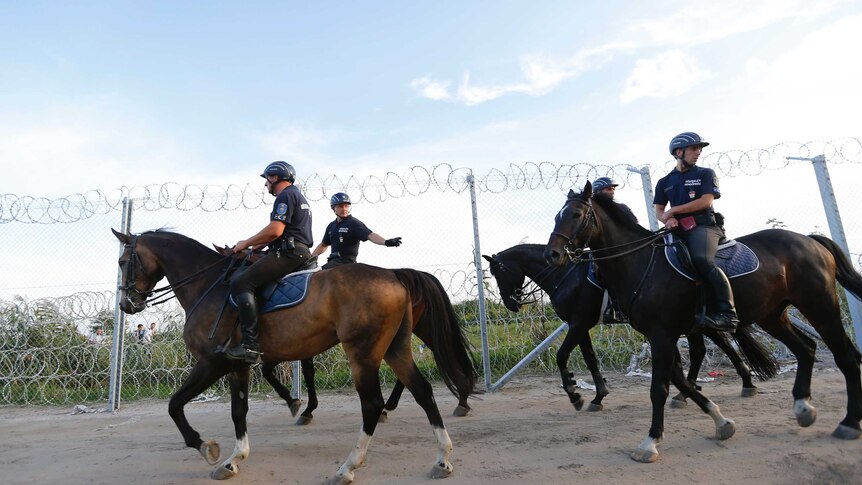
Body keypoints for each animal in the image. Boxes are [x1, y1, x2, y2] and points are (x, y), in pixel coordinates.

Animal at [113, 229, 480, 482]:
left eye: (122, 262)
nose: (126, 304)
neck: (209, 285)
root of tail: (393, 274)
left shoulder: (212, 362)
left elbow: (175, 405)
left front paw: (206, 447)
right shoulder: (237, 365)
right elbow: (238, 411)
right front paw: (234, 459)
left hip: (363, 353)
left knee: (373, 405)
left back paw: (348, 467)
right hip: (395, 347)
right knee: (423, 391)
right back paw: (442, 458)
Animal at [486, 244, 776, 410]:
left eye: (499, 272)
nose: (511, 304)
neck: (565, 274)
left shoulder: (579, 322)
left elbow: (561, 356)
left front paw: (576, 394)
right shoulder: (580, 324)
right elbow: (590, 358)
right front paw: (599, 395)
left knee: (711, 348)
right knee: (717, 346)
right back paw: (728, 384)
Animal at [548, 184, 862, 462]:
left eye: (576, 214)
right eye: (556, 216)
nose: (552, 254)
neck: (640, 262)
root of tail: (809, 240)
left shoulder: (661, 335)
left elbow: (659, 388)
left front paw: (650, 442)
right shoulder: (659, 335)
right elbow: (680, 381)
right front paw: (721, 422)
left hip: (820, 306)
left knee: (845, 356)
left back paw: (849, 423)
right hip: (772, 316)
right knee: (806, 349)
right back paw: (803, 408)